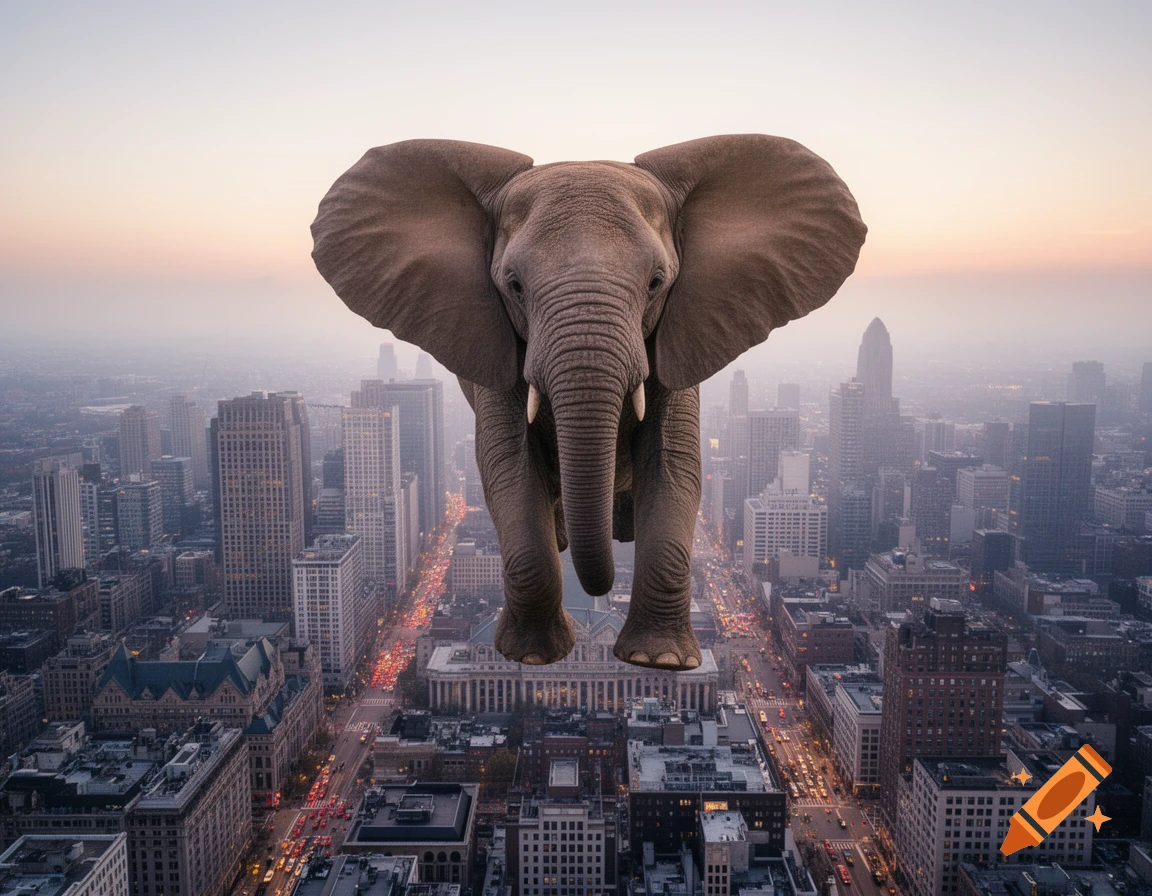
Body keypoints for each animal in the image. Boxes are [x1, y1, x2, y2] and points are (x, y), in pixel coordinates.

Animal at [311, 135, 866, 671]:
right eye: (513, 285)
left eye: (656, 282)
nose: (598, 594)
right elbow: (509, 467)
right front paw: (533, 655)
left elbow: (673, 464)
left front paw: (660, 659)